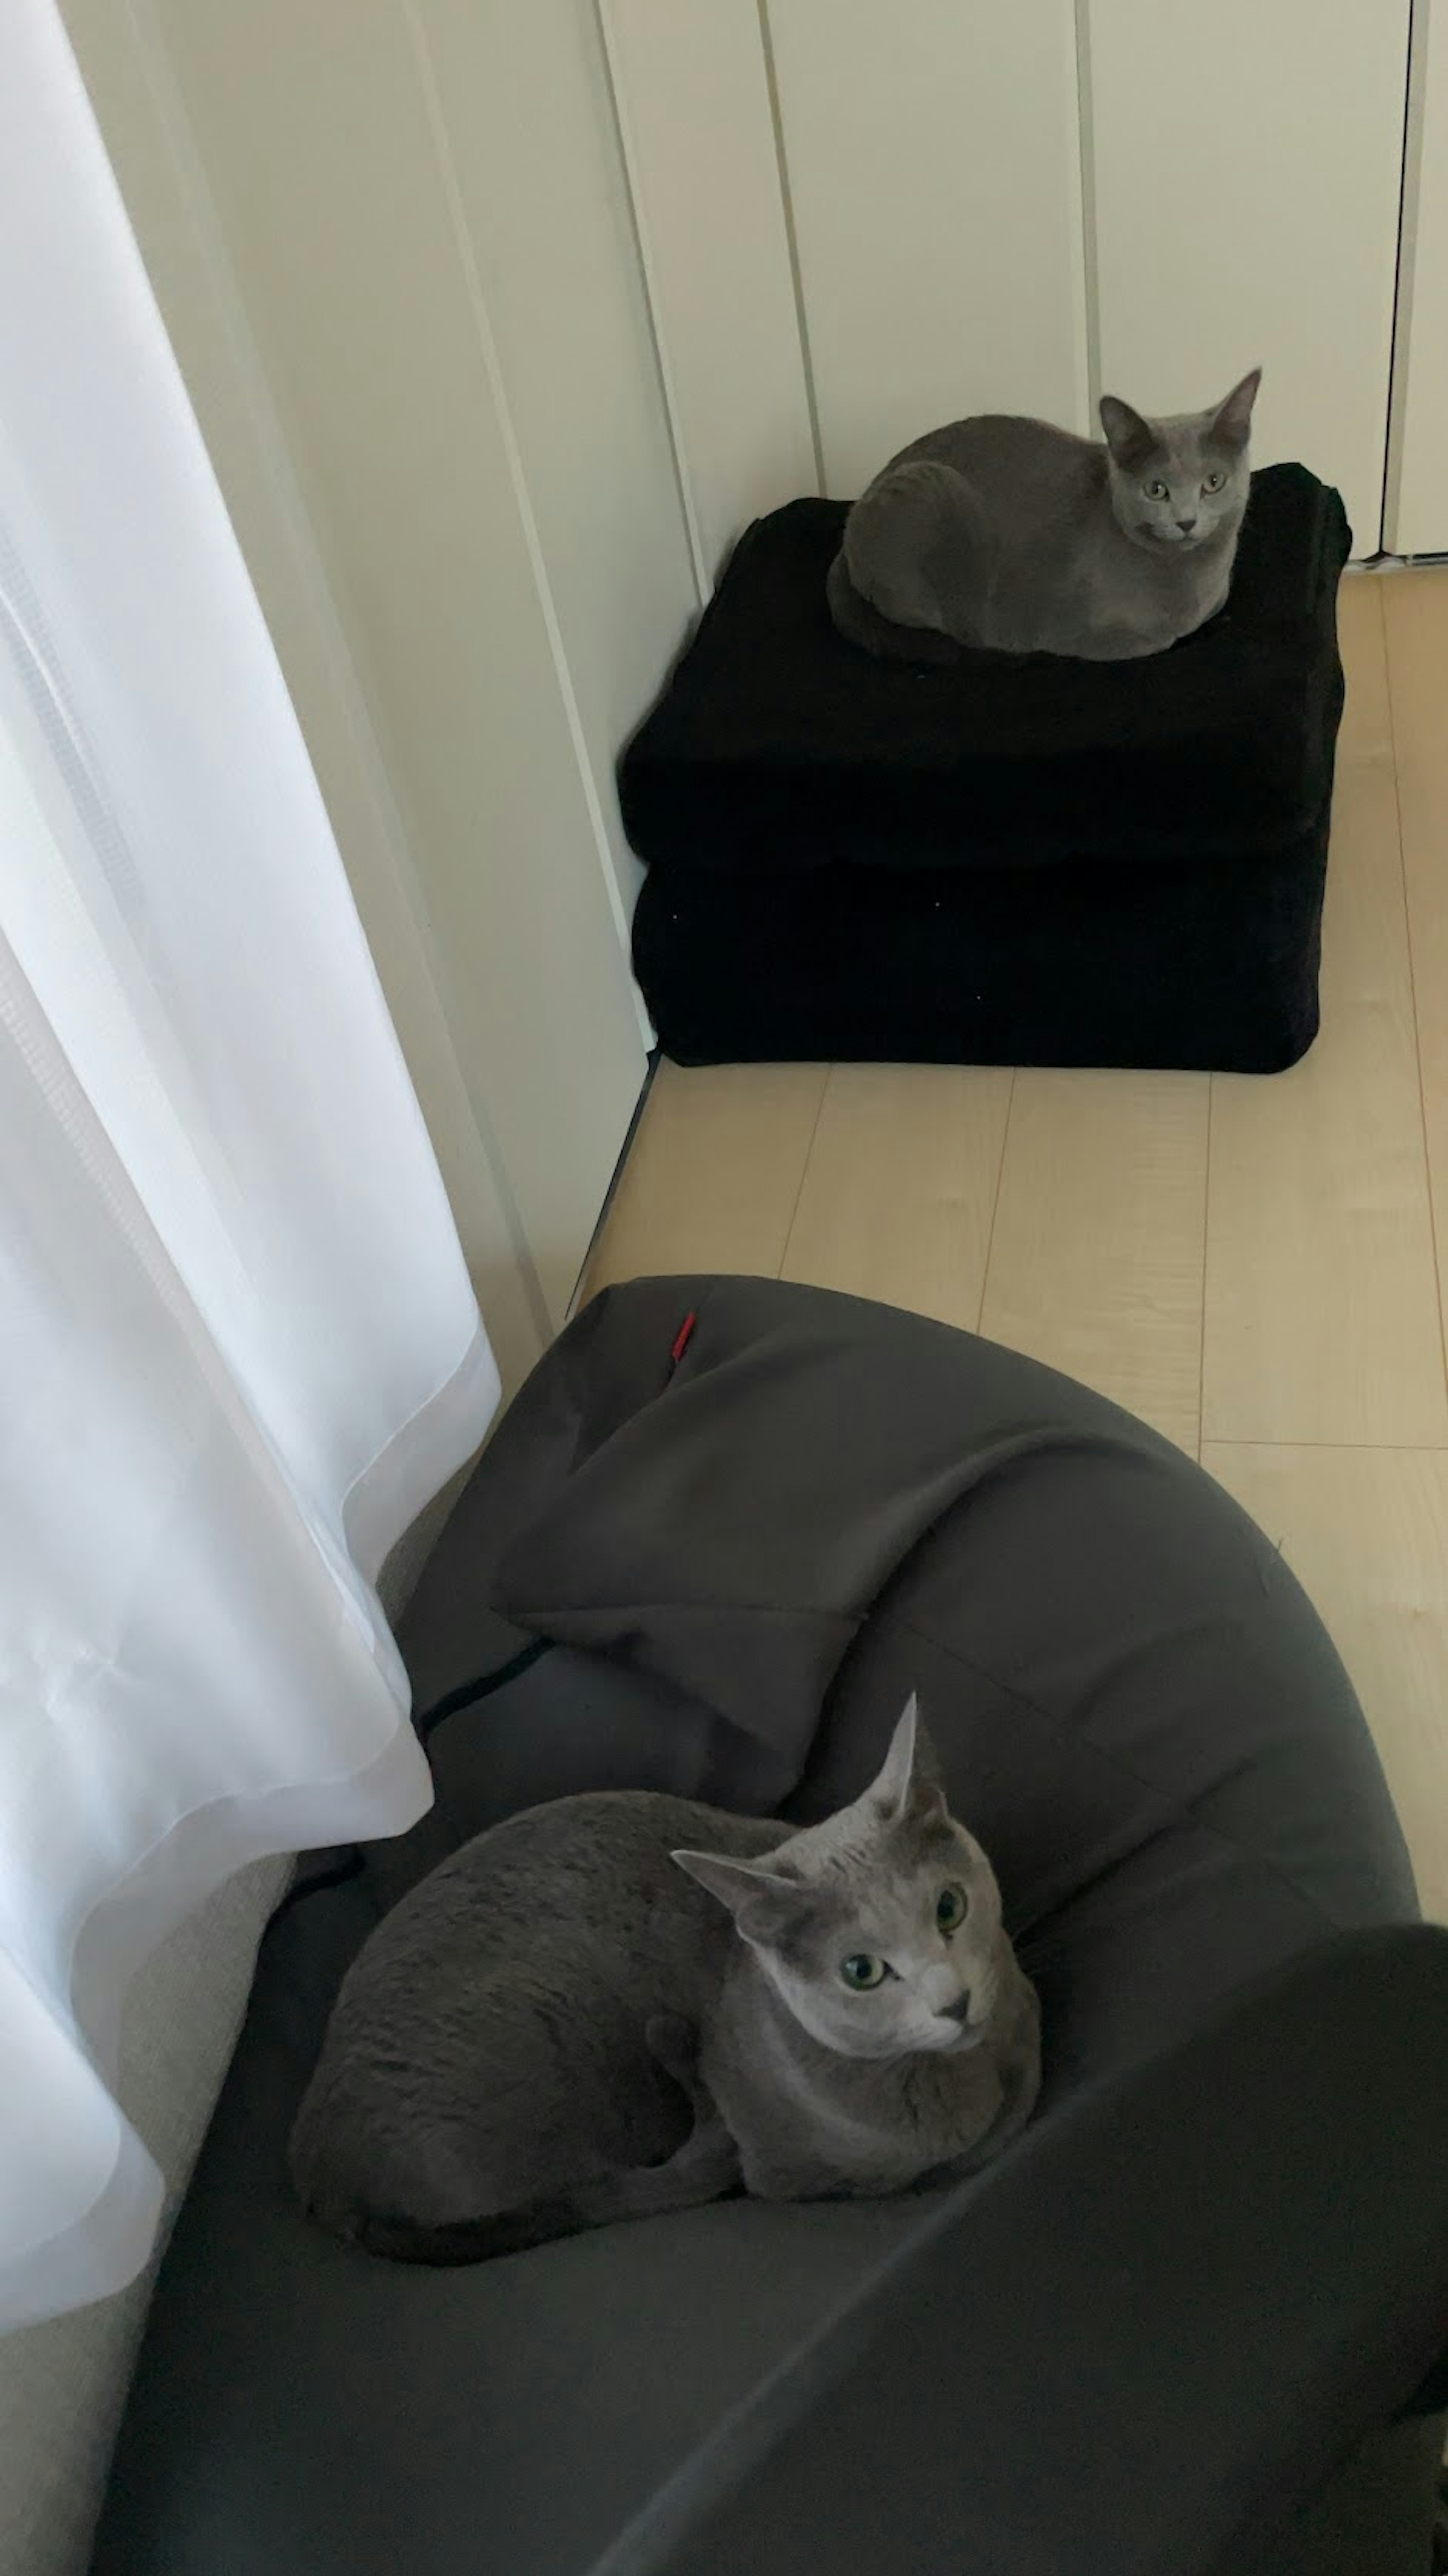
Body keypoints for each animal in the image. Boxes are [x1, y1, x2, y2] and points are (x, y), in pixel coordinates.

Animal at [830, 368, 1257, 665]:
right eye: (1157, 490)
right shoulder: (1079, 634)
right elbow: (1158, 639)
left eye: (1214, 482)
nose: (1186, 521)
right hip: (932, 492)